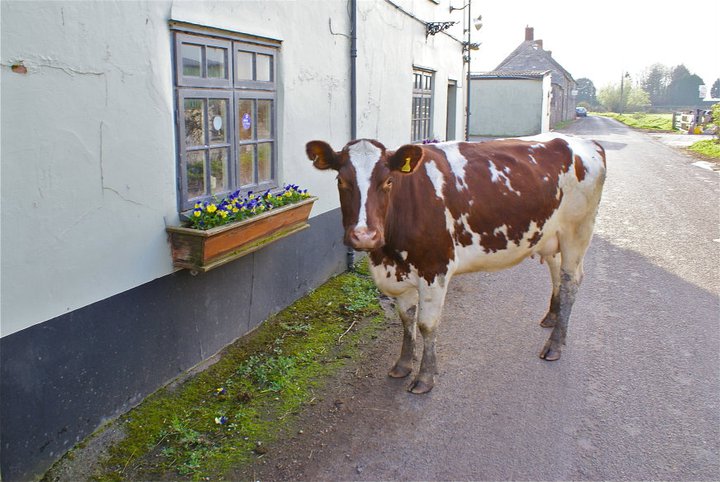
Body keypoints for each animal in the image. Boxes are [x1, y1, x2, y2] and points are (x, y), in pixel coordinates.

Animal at [306, 134, 606, 394]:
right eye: (341, 181)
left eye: (388, 181)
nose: (364, 235)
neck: (387, 255)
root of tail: (584, 141)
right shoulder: (399, 274)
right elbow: (406, 319)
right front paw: (403, 364)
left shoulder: (435, 268)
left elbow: (427, 325)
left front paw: (425, 377)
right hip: (550, 237)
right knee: (557, 276)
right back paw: (552, 318)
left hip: (577, 232)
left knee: (570, 282)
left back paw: (555, 344)